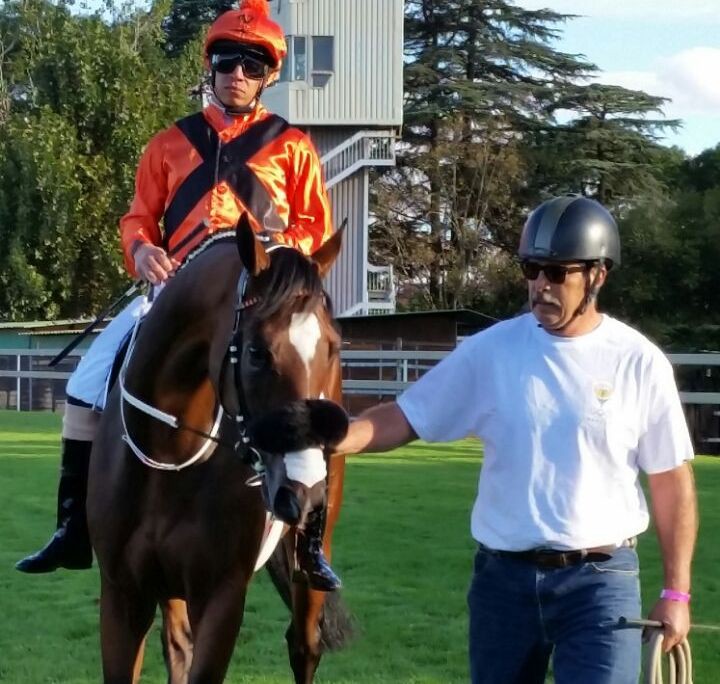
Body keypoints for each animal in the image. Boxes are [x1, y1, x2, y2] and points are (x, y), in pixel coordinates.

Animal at [87, 216, 352, 680]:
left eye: (333, 348)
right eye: (257, 352)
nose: (303, 493)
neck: (170, 455)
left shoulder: (220, 598)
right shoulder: (123, 595)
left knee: (304, 645)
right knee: (177, 645)